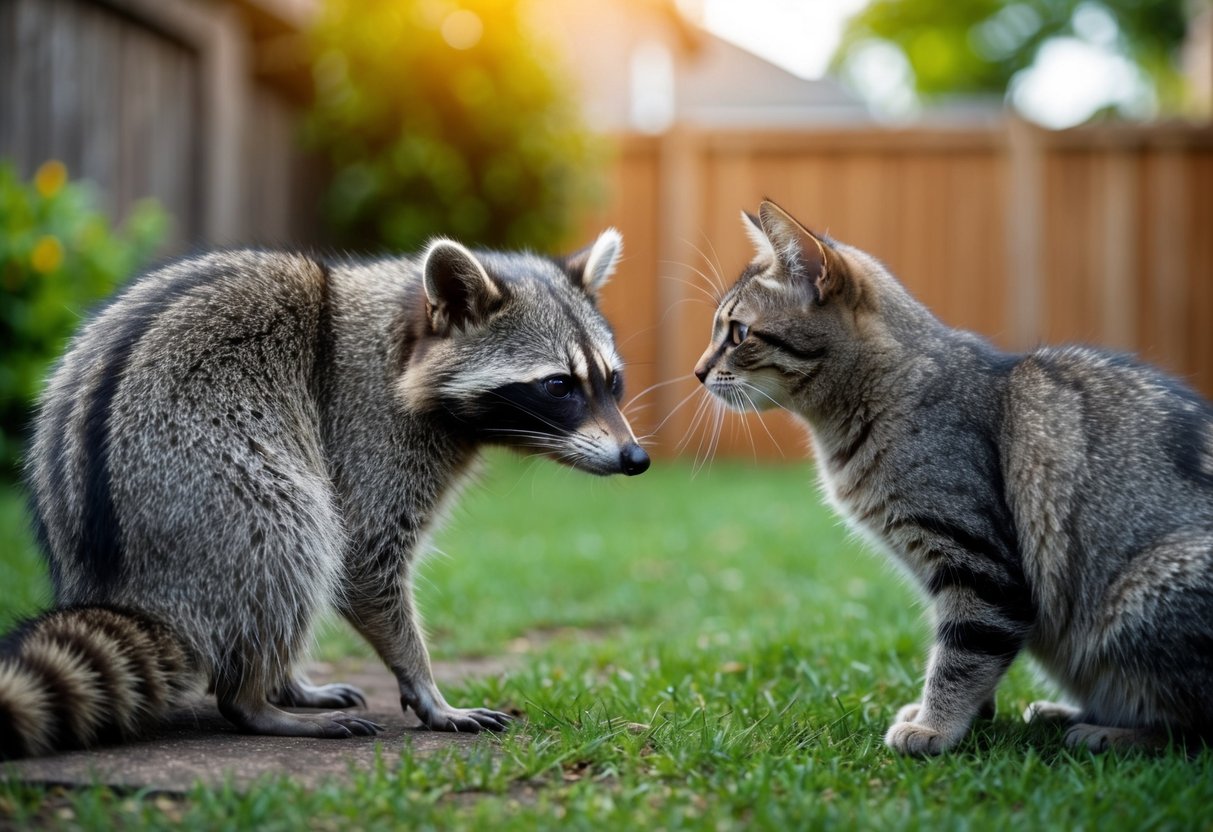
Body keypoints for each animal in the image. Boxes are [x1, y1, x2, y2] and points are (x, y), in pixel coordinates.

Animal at [4, 230, 648, 759]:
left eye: (612, 381)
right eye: (558, 386)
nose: (636, 459)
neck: (403, 335)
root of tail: (132, 593)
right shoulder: (366, 428)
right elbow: (363, 559)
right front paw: (426, 686)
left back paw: (280, 680)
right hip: (210, 482)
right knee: (293, 534)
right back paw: (254, 700)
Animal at [693, 199, 1213, 754]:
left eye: (738, 333)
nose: (698, 371)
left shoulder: (977, 563)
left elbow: (962, 656)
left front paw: (934, 727)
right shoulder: (943, 571)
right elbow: (963, 651)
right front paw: (963, 716)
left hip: (1143, 594)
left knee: (1190, 730)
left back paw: (1104, 732)